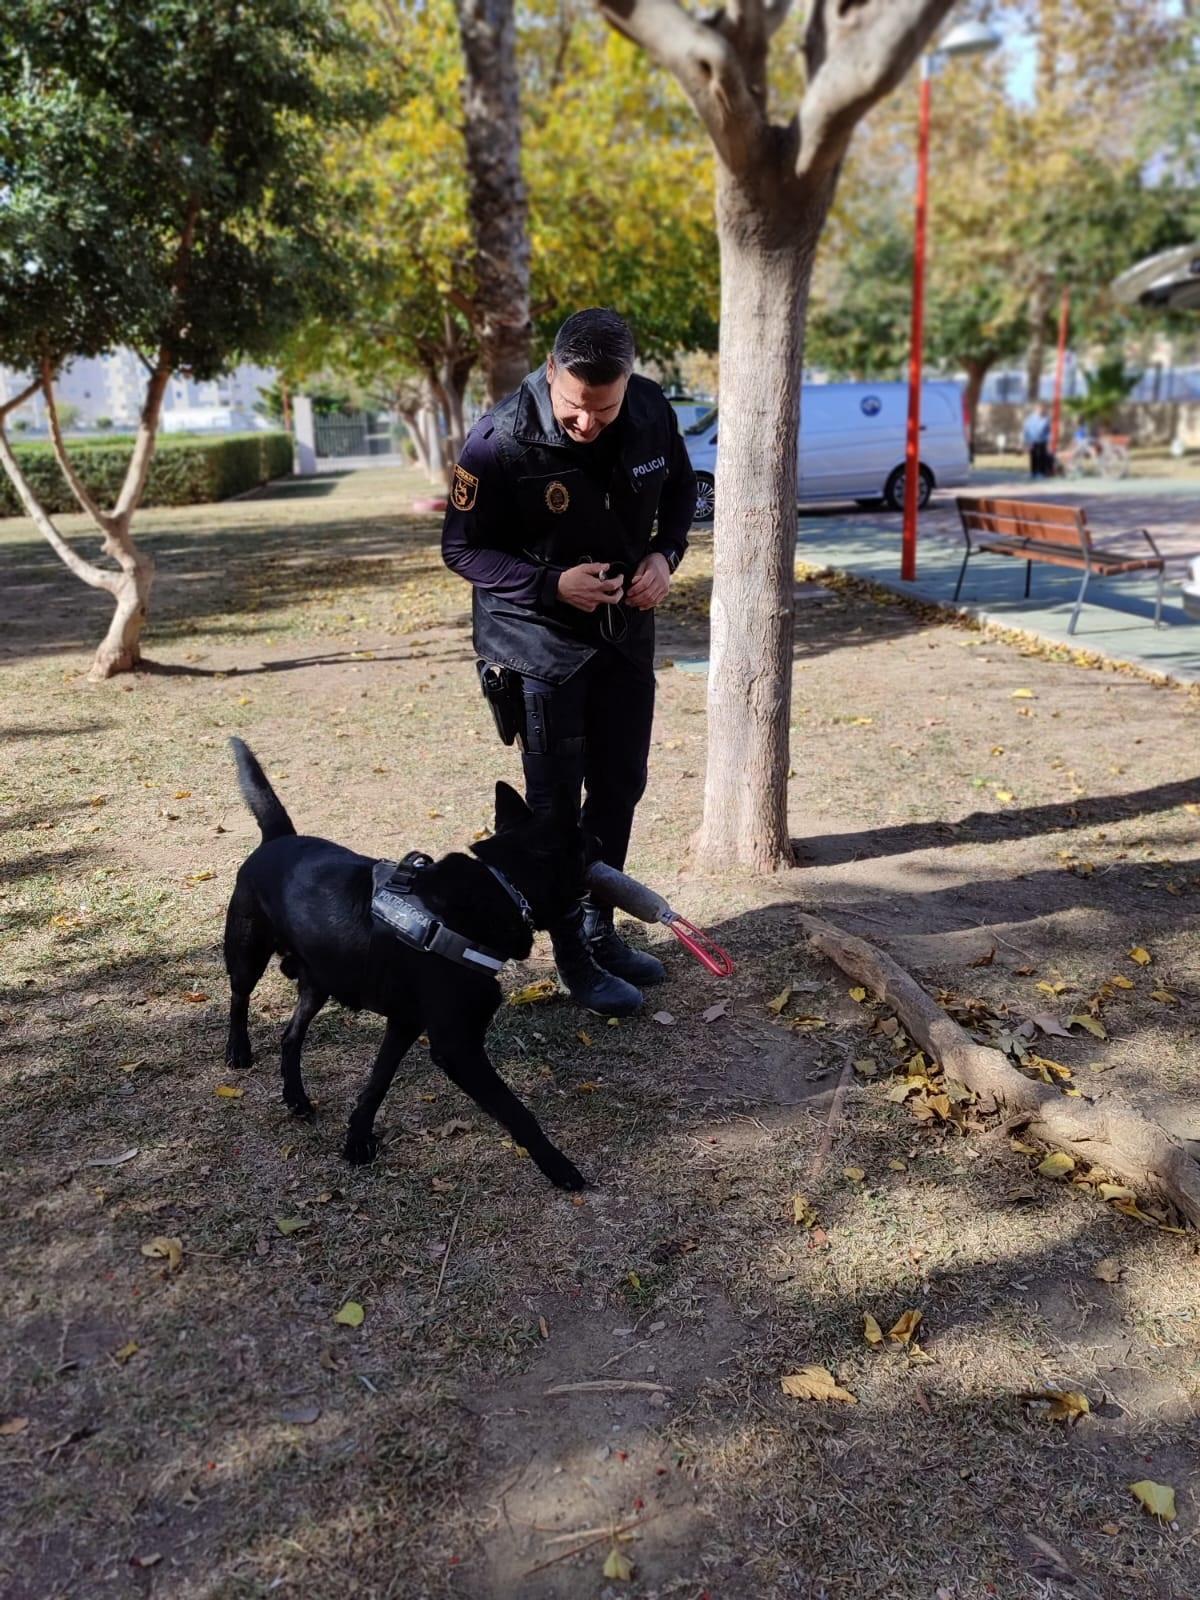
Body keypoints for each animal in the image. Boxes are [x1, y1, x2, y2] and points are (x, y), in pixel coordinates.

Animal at [224, 736, 592, 1190]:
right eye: (586, 845)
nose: (603, 853)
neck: (501, 886)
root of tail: (277, 838)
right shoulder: (456, 1047)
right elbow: (515, 1110)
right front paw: (559, 1166)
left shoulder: (404, 1023)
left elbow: (376, 1083)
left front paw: (356, 1141)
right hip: (247, 951)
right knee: (239, 998)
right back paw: (238, 1049)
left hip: (319, 981)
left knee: (291, 1036)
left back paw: (296, 1097)